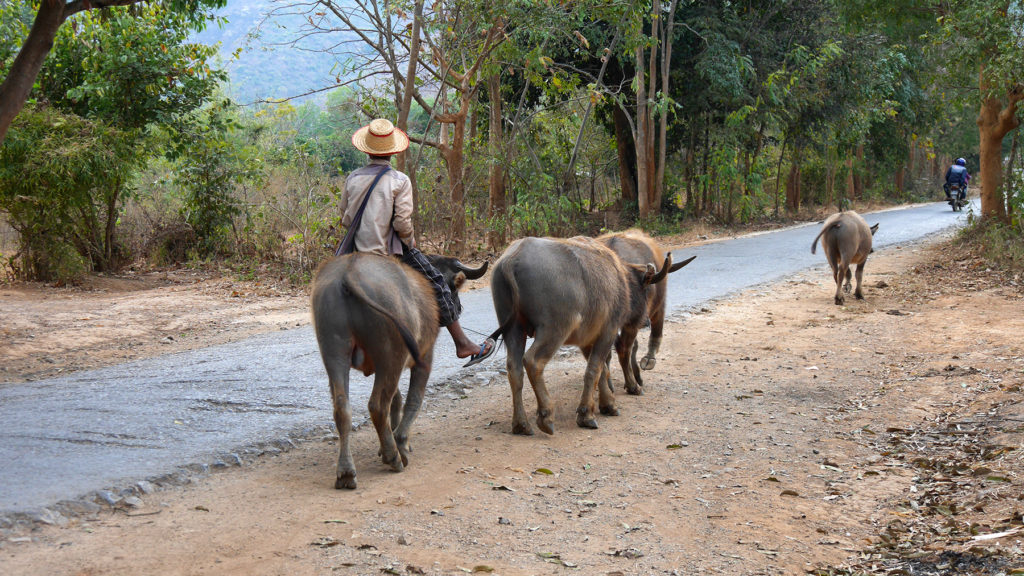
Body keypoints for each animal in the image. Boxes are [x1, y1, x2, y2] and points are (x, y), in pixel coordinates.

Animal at [309, 249, 485, 485]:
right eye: (454, 289)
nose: (458, 308)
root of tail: (349, 272)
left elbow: (397, 399)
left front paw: (387, 441)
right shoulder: (424, 358)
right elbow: (413, 400)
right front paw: (400, 441)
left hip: (335, 352)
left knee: (342, 407)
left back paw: (346, 472)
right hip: (392, 355)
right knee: (377, 405)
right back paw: (394, 456)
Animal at [489, 235, 667, 432]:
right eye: (646, 290)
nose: (645, 321)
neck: (620, 281)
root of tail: (513, 258)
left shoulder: (587, 340)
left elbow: (601, 370)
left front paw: (607, 404)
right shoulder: (609, 331)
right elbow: (594, 369)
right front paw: (587, 414)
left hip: (513, 329)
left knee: (514, 368)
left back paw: (521, 424)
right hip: (554, 329)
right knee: (533, 361)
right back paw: (546, 416)